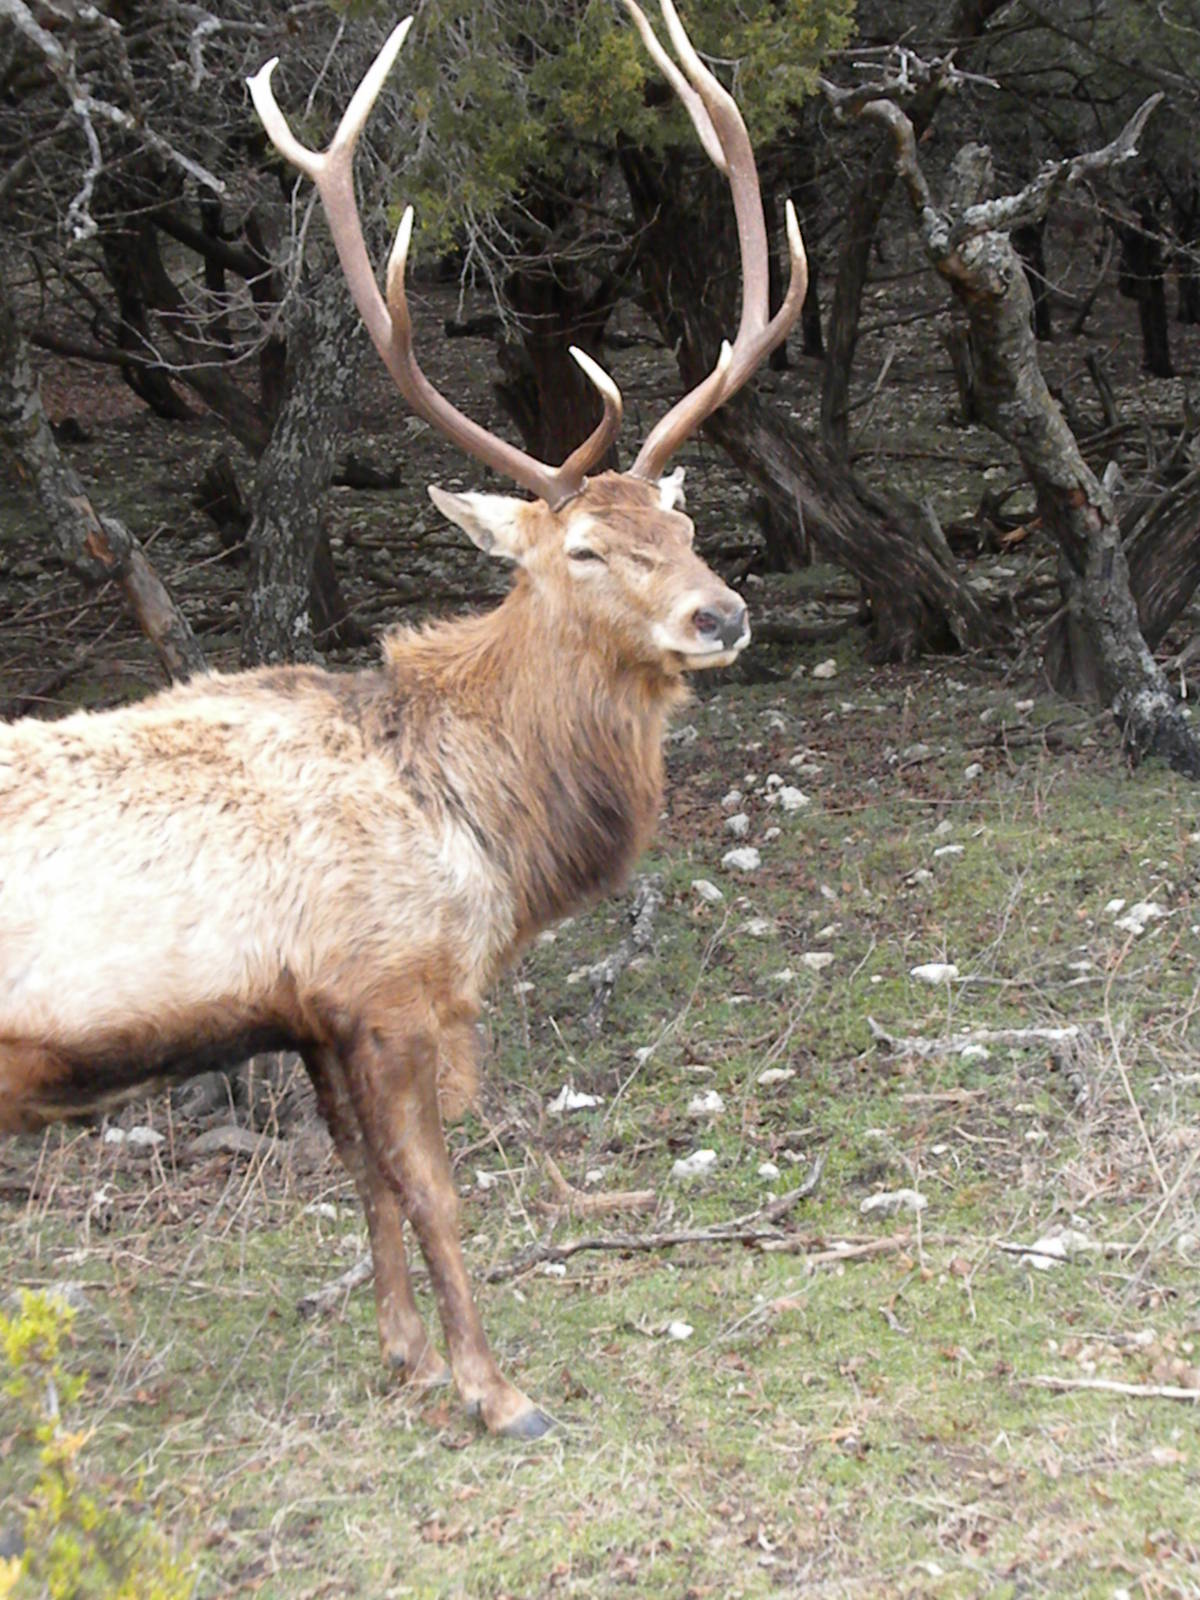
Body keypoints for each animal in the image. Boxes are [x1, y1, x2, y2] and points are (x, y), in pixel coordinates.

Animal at [0, 2, 805, 1438]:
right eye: (583, 550)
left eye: (687, 524)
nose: (724, 616)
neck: (479, 825)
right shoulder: (389, 986)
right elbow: (434, 1188)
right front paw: (497, 1390)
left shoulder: (312, 1007)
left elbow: (364, 1183)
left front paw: (406, 1362)